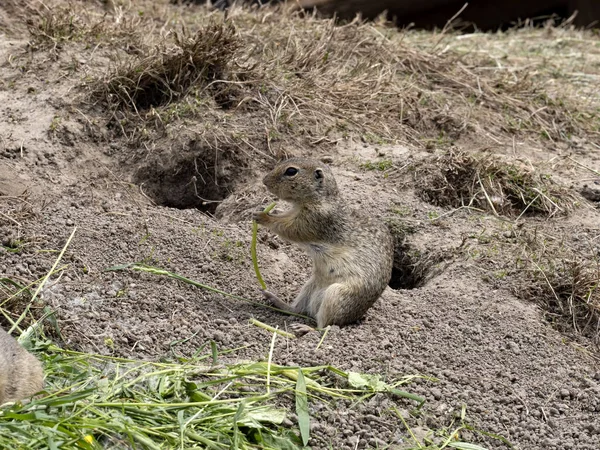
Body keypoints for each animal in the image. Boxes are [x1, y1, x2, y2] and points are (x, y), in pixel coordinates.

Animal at [252, 156, 394, 332]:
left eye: (291, 171)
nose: (264, 181)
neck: (321, 199)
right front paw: (267, 210)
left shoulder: (314, 220)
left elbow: (288, 228)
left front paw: (263, 216)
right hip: (309, 287)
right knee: (298, 310)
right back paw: (274, 299)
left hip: (335, 296)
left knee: (324, 326)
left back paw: (305, 328)